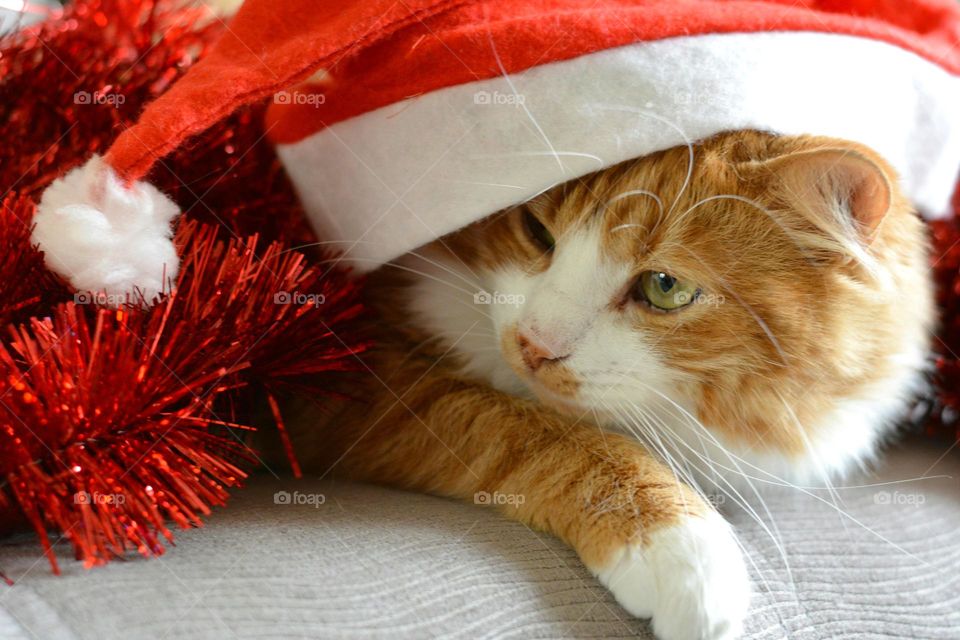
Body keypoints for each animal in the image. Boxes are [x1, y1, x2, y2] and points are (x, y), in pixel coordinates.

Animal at [288, 131, 932, 640]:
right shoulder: (362, 384)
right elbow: (549, 437)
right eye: (535, 228)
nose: (533, 345)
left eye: (665, 287)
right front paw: (684, 549)